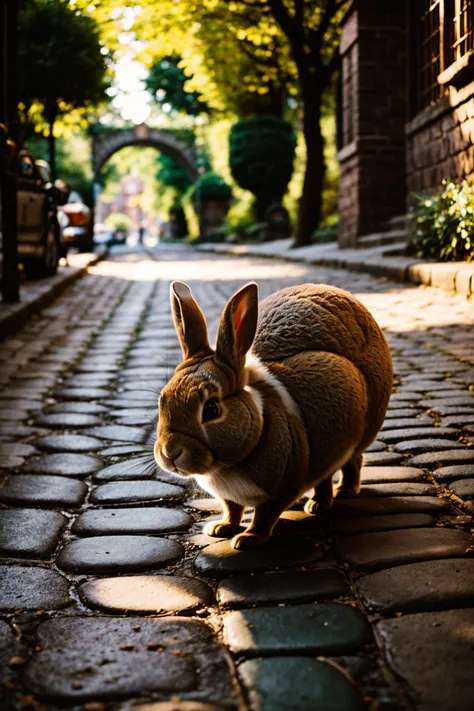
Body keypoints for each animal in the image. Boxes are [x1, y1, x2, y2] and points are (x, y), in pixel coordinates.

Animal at [156, 280, 392, 548]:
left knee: (351, 462)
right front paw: (221, 528)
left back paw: (335, 496)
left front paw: (247, 539)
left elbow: (265, 515)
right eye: (162, 400)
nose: (170, 453)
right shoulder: (231, 497)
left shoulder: (283, 487)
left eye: (211, 409)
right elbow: (232, 508)